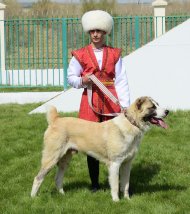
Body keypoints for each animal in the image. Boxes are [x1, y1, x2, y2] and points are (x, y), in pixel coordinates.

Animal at [30, 96, 168, 201]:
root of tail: (56, 120)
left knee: (58, 178)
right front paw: (116, 201)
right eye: (152, 107)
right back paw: (33, 198)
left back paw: (62, 195)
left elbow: (125, 184)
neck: (131, 123)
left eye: (157, 104)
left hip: (65, 159)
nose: (167, 111)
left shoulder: (127, 164)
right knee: (38, 178)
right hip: (51, 158)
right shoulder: (115, 164)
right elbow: (115, 185)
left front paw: (128, 200)